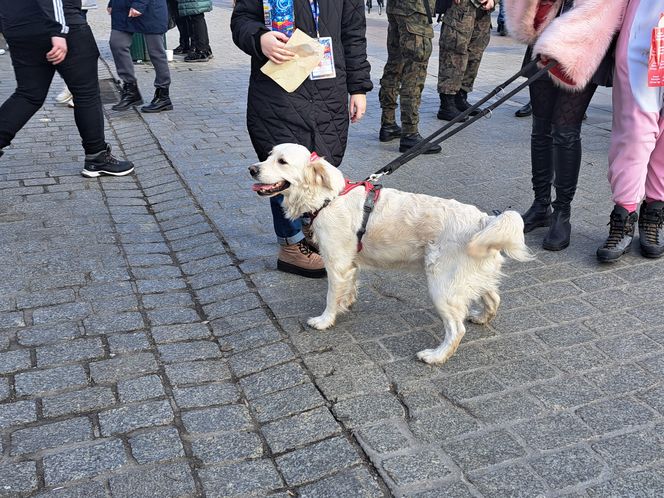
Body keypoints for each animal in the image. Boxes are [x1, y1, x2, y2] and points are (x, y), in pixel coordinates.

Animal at [249, 144, 536, 366]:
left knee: (456, 329)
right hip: (471, 278)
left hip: (442, 287)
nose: (252, 169)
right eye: (268, 155)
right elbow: (348, 288)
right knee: (493, 298)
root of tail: (484, 219)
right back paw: (480, 317)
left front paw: (324, 320)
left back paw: (436, 356)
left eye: (282, 161)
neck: (328, 199)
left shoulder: (336, 264)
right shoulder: (350, 265)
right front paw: (346, 303)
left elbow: (331, 297)